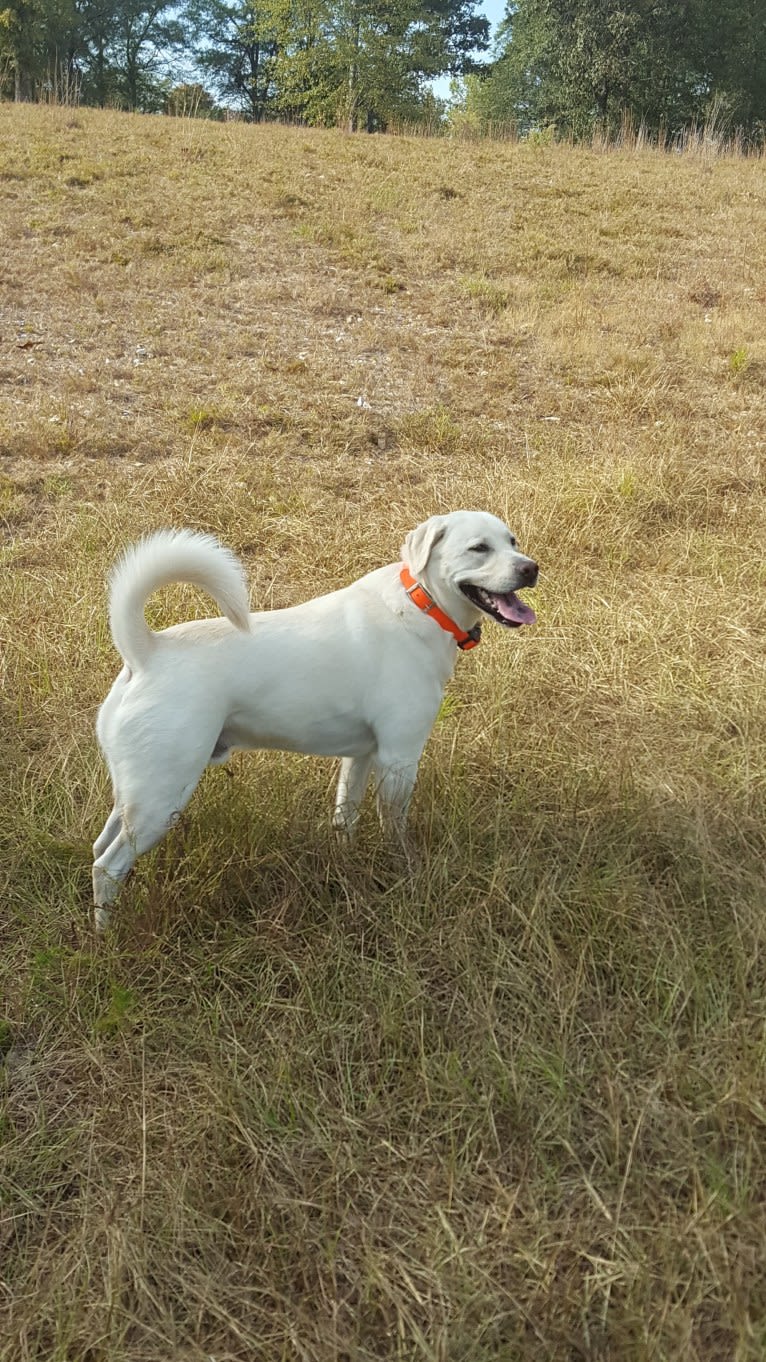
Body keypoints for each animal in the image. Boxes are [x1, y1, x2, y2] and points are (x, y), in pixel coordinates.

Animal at [92, 512, 537, 926]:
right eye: (479, 548)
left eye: (513, 541)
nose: (530, 568)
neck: (421, 605)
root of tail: (146, 652)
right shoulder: (399, 759)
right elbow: (395, 829)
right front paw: (407, 874)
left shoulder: (361, 757)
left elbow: (345, 817)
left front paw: (347, 867)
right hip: (162, 794)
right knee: (108, 865)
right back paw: (107, 935)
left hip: (136, 791)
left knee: (100, 846)